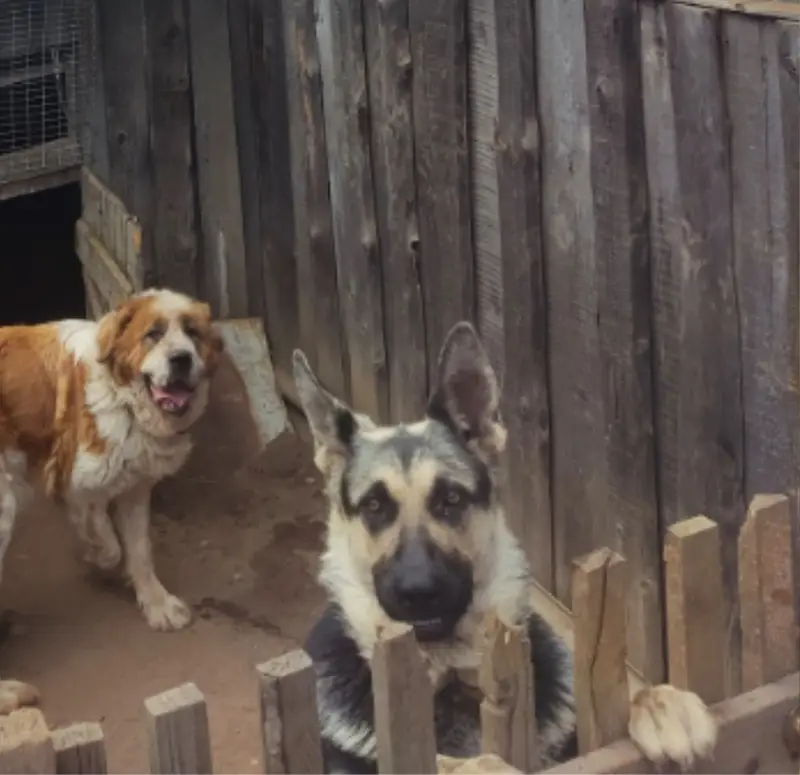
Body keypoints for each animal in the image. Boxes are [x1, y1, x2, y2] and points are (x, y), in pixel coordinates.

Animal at [0, 288, 222, 712]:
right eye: (153, 334)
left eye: (192, 333)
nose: (181, 359)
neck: (122, 398)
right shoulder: (77, 481)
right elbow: (108, 542)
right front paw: (93, 555)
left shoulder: (136, 487)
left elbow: (140, 551)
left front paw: (157, 604)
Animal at [293, 321, 718, 774]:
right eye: (374, 506)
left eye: (451, 498)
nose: (418, 592)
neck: (451, 673)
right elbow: (451, 763)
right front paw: (484, 765)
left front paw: (661, 706)